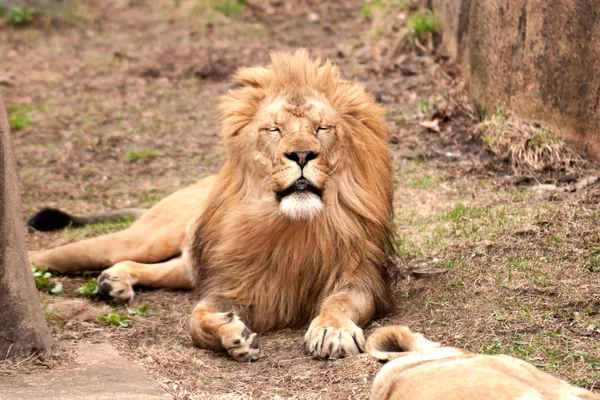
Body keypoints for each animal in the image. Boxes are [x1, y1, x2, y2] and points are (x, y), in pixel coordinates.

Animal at [28, 48, 396, 360]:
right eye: (274, 130)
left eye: (322, 128)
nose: (302, 154)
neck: (292, 225)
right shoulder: (236, 279)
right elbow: (196, 317)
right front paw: (231, 334)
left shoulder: (358, 276)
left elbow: (340, 302)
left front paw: (332, 331)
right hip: (142, 240)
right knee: (53, 254)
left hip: (187, 262)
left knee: (153, 267)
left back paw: (114, 281)